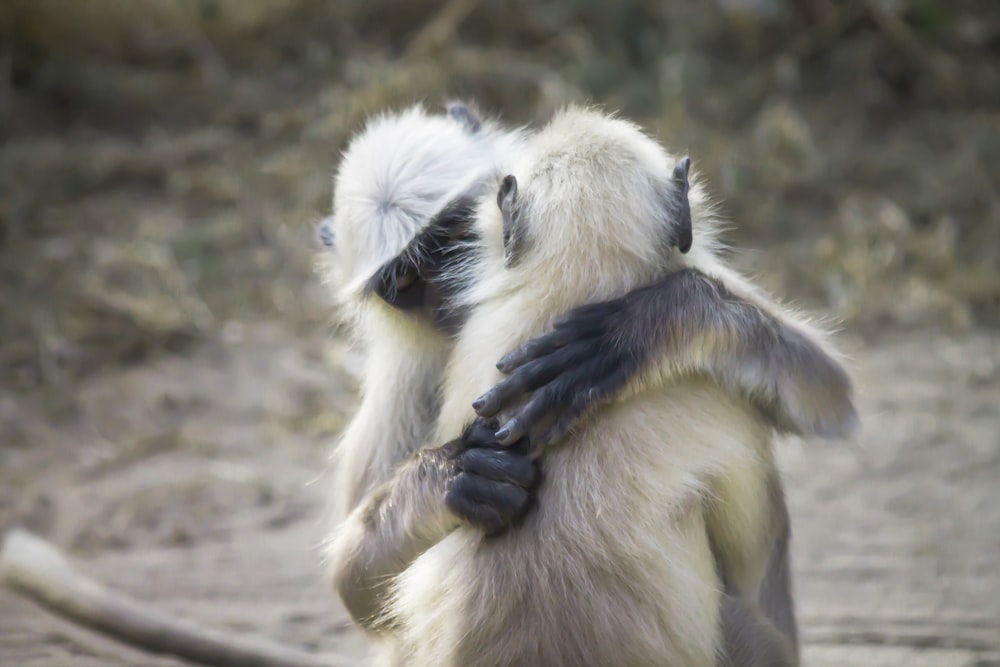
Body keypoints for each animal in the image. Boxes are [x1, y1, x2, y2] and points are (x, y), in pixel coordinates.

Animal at [324, 107, 856, 664]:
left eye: (459, 236)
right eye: (408, 282)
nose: (451, 297)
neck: (578, 275)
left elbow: (827, 386)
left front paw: (636, 333)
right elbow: (355, 587)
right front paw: (464, 475)